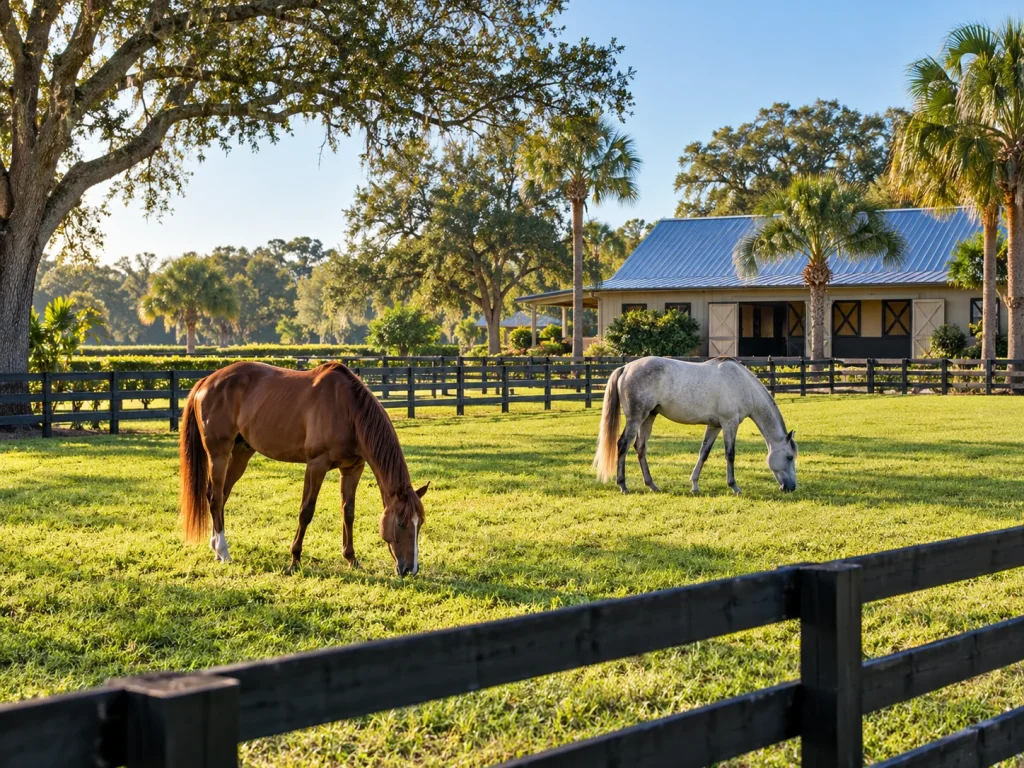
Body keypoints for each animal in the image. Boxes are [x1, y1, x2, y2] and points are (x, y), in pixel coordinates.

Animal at [178, 361, 429, 576]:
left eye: (420, 524)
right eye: (401, 523)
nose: (410, 569)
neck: (348, 409)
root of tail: (206, 381)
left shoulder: (352, 468)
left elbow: (348, 512)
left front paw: (351, 559)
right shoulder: (316, 465)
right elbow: (306, 511)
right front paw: (294, 560)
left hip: (241, 453)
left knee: (222, 495)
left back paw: (215, 547)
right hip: (218, 453)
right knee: (215, 497)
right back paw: (223, 551)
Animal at [593, 356, 798, 495]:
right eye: (789, 457)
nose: (792, 487)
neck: (743, 385)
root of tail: (625, 368)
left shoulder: (715, 426)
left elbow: (703, 453)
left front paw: (695, 485)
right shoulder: (729, 423)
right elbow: (730, 454)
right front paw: (734, 486)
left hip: (649, 417)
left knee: (640, 447)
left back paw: (652, 485)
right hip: (636, 418)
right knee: (623, 445)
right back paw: (623, 485)